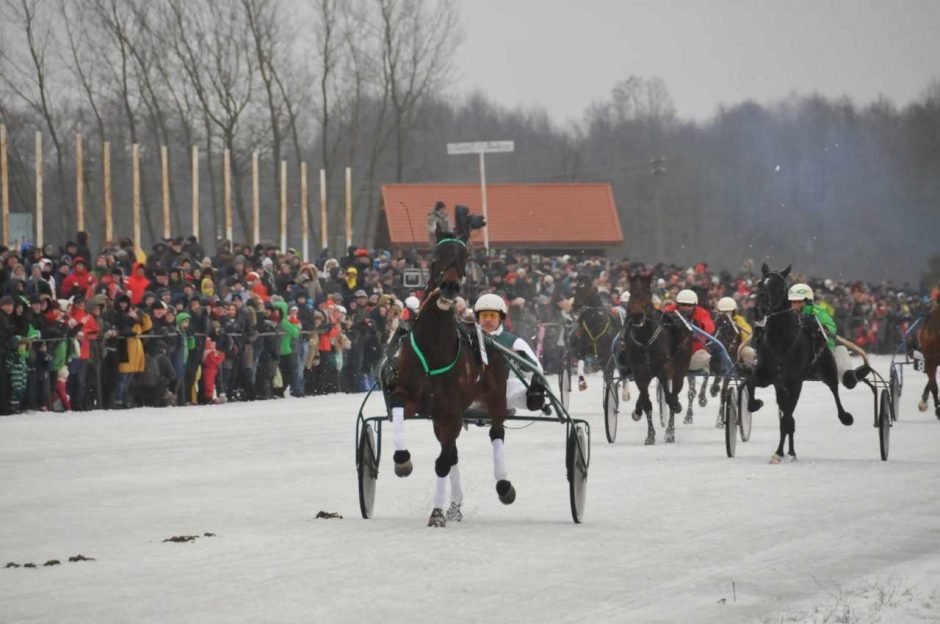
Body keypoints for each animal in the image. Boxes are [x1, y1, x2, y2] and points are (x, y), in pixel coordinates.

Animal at [624, 270, 692, 444]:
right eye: (631, 292)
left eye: (647, 292)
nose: (637, 315)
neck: (645, 339)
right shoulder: (640, 372)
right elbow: (647, 402)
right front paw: (650, 435)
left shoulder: (664, 368)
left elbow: (669, 398)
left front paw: (670, 431)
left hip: (680, 369)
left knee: (674, 391)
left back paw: (670, 429)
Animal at [744, 264, 856, 464]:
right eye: (760, 283)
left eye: (780, 286)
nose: (760, 309)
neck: (781, 342)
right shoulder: (768, 377)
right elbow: (751, 382)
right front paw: (756, 403)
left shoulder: (795, 382)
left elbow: (787, 419)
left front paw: (779, 452)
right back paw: (789, 450)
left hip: (826, 369)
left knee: (834, 388)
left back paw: (844, 417)